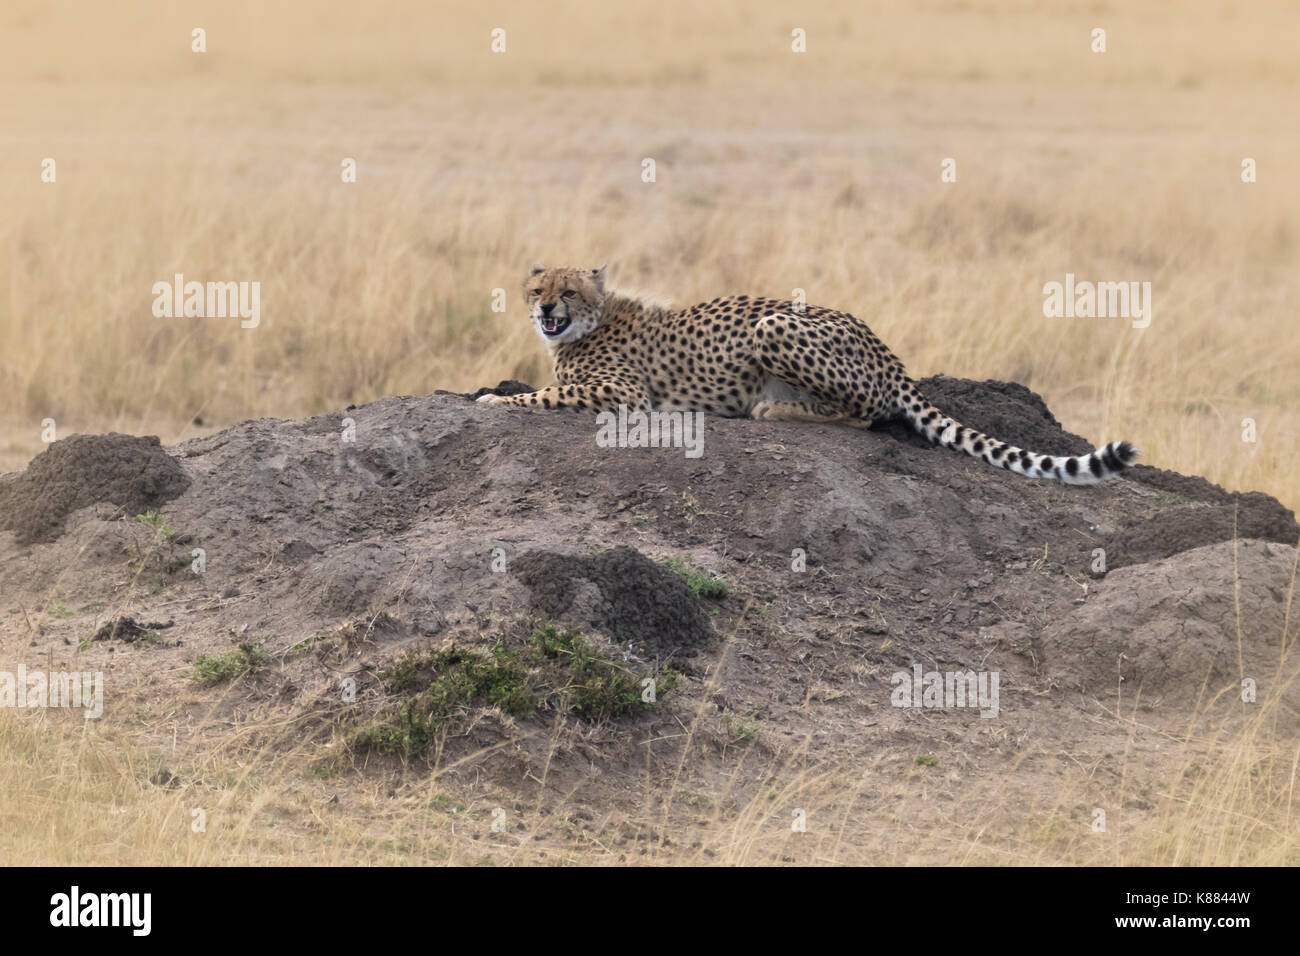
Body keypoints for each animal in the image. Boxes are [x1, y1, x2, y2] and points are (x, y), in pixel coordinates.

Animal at [477, 264, 1139, 485]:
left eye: (567, 290)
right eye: (537, 288)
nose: (546, 308)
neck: (592, 322)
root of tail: (885, 348)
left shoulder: (623, 391)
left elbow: (540, 396)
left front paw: (490, 401)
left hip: (775, 323)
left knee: (866, 416)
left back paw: (775, 409)